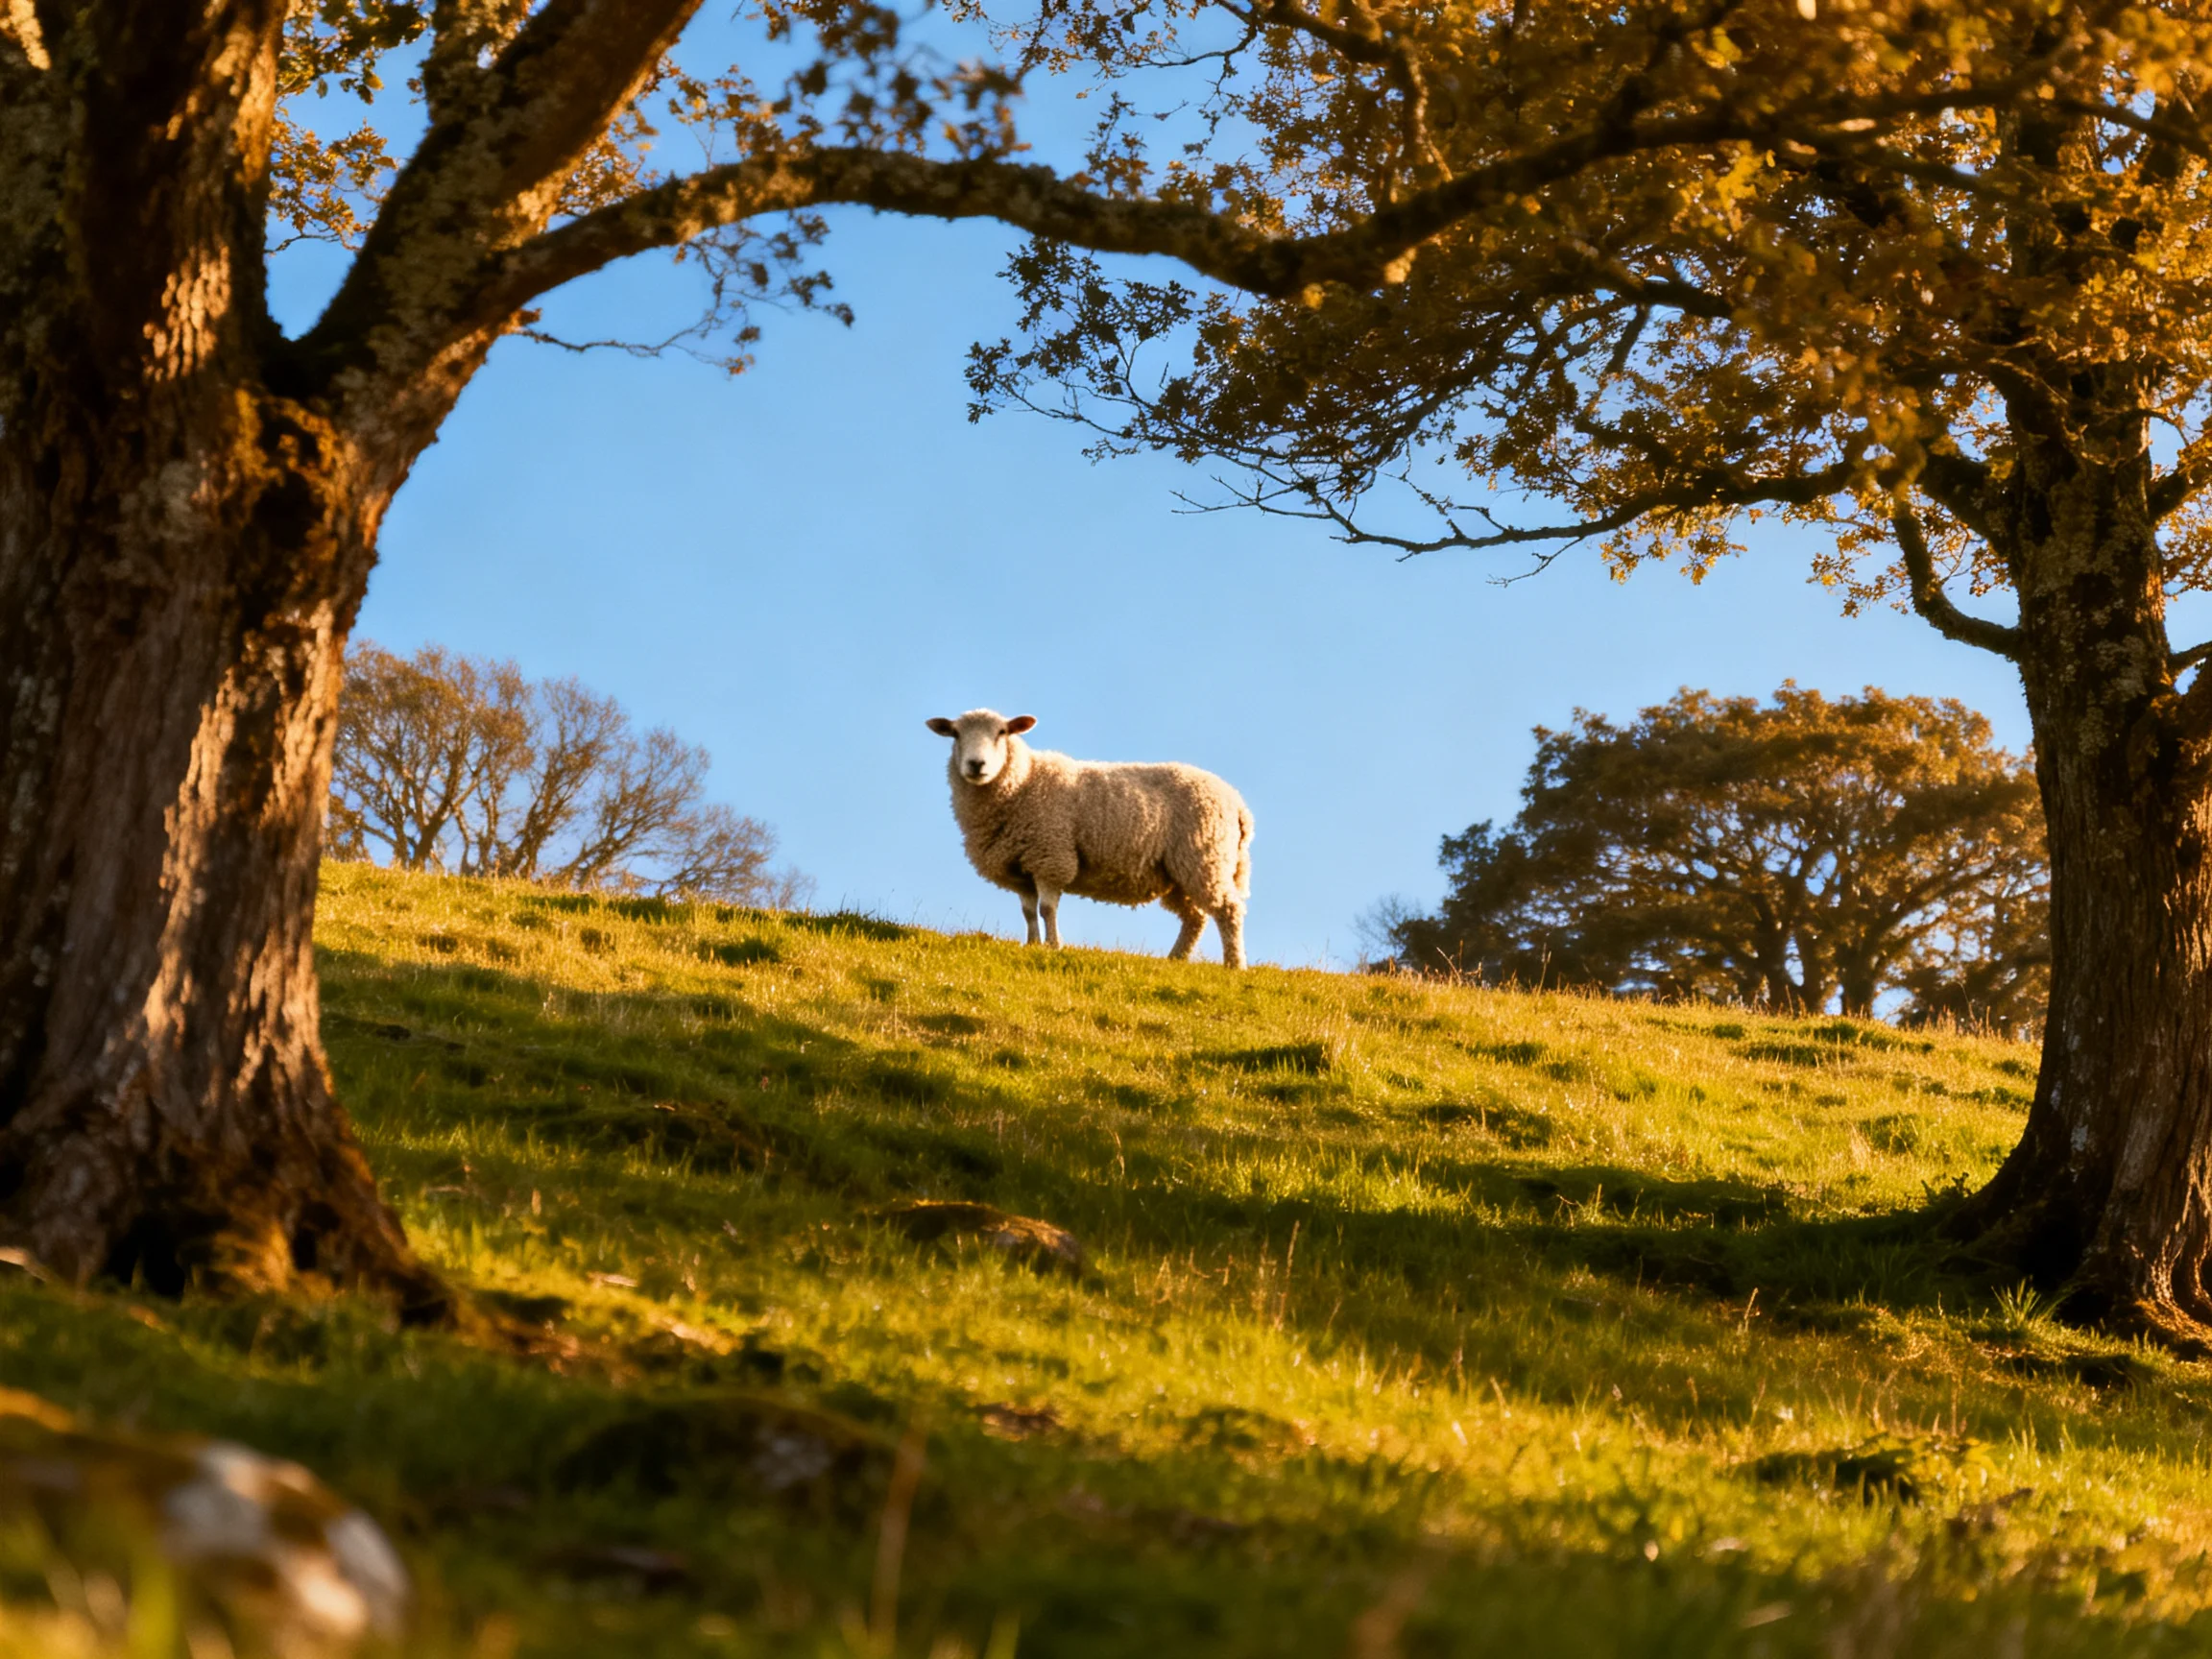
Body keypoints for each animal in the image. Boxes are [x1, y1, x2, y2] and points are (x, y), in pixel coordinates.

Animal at [925, 709, 1253, 968]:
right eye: (955, 734)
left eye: (1002, 732)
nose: (976, 764)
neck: (1023, 781)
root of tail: (1238, 803)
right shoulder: (1019, 869)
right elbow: (1028, 912)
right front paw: (1032, 945)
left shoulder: (1050, 857)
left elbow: (1046, 909)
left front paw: (1053, 946)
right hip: (1178, 872)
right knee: (1195, 918)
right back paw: (1176, 959)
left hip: (1205, 858)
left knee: (1228, 910)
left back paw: (1234, 965)